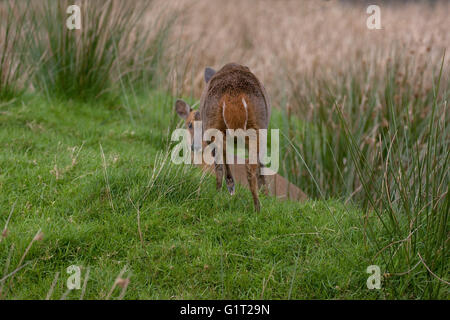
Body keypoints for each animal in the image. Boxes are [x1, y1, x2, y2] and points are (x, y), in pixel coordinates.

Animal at [175, 62, 270, 212]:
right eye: (189, 125)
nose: (194, 146)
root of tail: (233, 96)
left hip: (214, 124)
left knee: (220, 160)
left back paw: (224, 190)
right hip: (258, 126)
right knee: (250, 163)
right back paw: (257, 206)